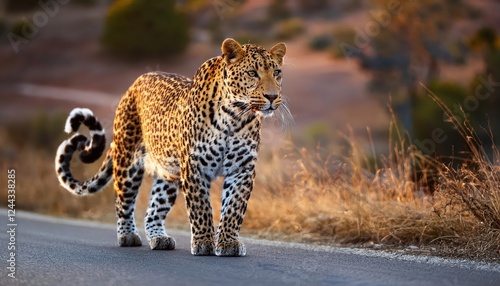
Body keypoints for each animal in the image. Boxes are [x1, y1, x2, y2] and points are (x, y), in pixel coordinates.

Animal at [53, 38, 288, 256]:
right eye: (252, 73)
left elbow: (233, 208)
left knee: (154, 210)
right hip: (128, 163)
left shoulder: (242, 169)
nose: (272, 97)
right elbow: (201, 207)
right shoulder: (195, 167)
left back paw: (160, 238)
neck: (235, 117)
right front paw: (204, 242)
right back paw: (128, 235)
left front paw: (228, 243)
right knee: (123, 201)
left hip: (168, 175)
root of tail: (135, 83)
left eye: (277, 72)